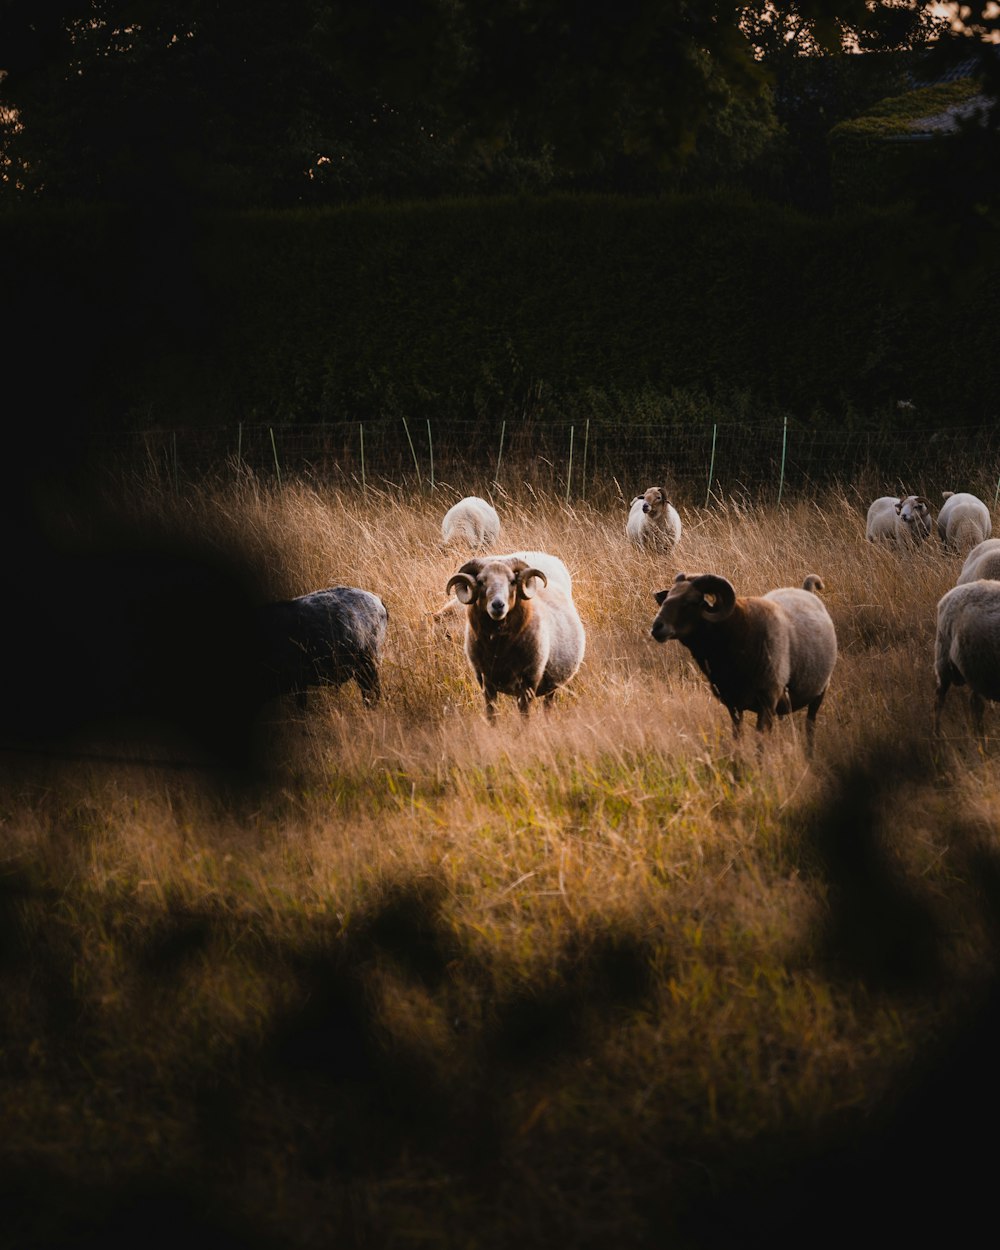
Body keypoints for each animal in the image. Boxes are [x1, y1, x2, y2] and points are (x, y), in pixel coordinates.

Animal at [447, 552, 585, 720]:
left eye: (512, 581)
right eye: (480, 582)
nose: (498, 605)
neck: (498, 648)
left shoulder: (529, 681)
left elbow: (524, 716)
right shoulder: (486, 682)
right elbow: (491, 714)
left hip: (552, 683)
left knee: (547, 706)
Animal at [650, 572, 840, 750]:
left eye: (692, 601)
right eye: (666, 597)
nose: (656, 627)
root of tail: (805, 591)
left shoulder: (767, 702)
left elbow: (760, 744)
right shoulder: (733, 704)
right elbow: (737, 736)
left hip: (819, 692)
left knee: (810, 725)